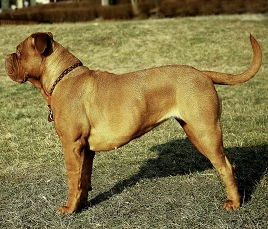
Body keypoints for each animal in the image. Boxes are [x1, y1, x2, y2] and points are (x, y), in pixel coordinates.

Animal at [5, 31, 262, 213]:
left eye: (18, 52)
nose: (6, 57)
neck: (62, 77)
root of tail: (202, 73)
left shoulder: (71, 145)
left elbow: (72, 180)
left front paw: (69, 208)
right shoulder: (85, 149)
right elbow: (83, 178)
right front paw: (82, 204)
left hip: (205, 131)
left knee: (226, 167)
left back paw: (234, 202)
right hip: (195, 131)